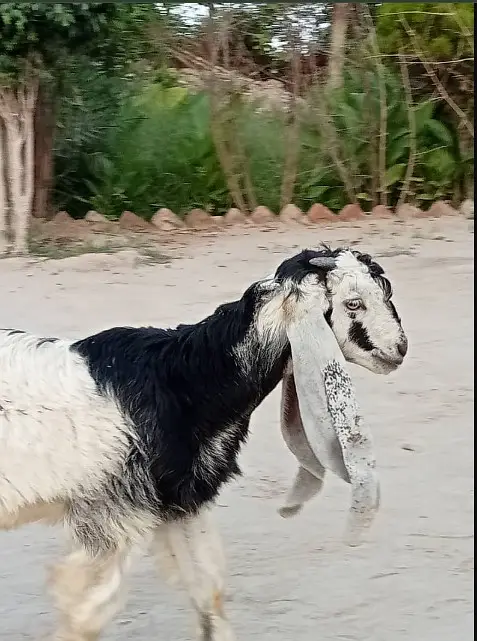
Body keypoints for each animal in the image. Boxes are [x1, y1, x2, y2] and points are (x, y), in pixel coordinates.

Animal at [0, 246, 408, 641]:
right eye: (353, 303)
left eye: (385, 293)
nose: (400, 349)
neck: (184, 383)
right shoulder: (114, 514)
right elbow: (85, 613)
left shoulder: (180, 501)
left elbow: (208, 591)